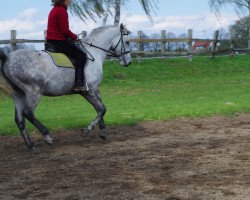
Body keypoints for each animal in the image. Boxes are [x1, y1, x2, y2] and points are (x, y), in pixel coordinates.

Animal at [0, 24, 132, 150]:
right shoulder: (90, 90)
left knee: (19, 119)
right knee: (27, 113)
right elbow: (102, 109)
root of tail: (8, 58)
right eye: (127, 42)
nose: (128, 62)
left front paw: (103, 132)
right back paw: (47, 136)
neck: (93, 53)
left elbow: (99, 108)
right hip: (34, 92)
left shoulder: (92, 90)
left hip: (18, 94)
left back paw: (31, 145)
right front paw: (88, 130)